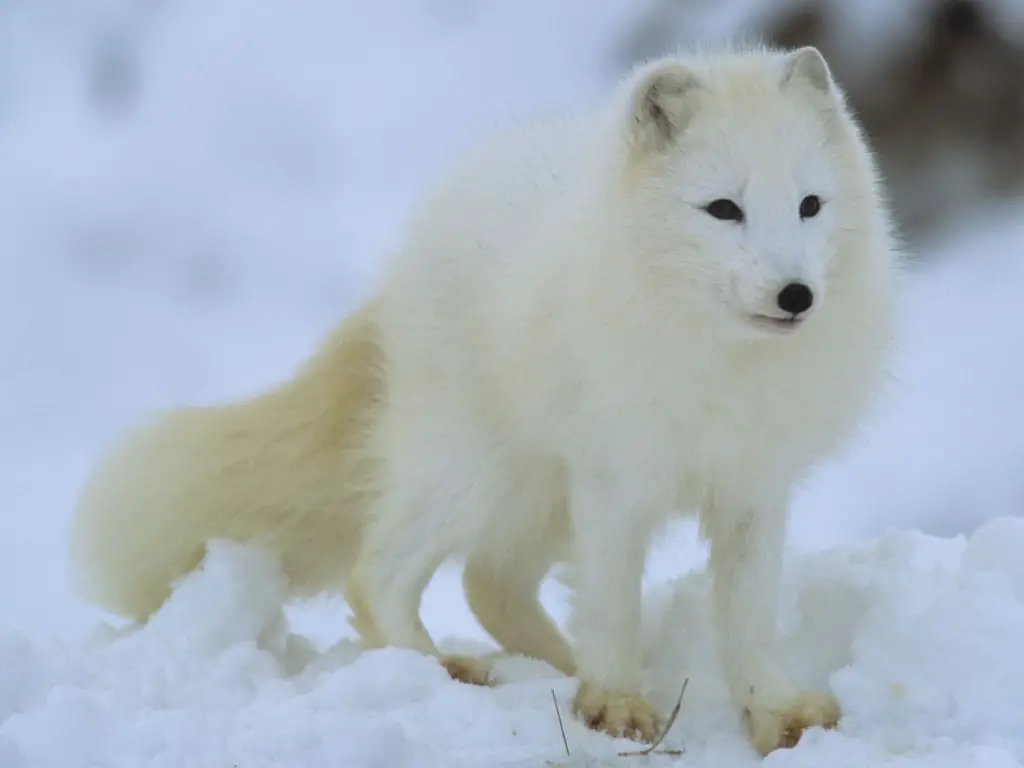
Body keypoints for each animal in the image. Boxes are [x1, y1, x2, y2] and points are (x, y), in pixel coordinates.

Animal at [72, 46, 897, 757]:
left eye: (810, 205)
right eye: (723, 209)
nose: (796, 294)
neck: (720, 361)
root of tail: (398, 274)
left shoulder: (755, 485)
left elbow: (750, 615)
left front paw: (777, 712)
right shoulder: (613, 481)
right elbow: (613, 603)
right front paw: (618, 704)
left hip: (536, 496)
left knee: (489, 584)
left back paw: (552, 670)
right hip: (476, 470)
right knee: (380, 572)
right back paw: (441, 669)